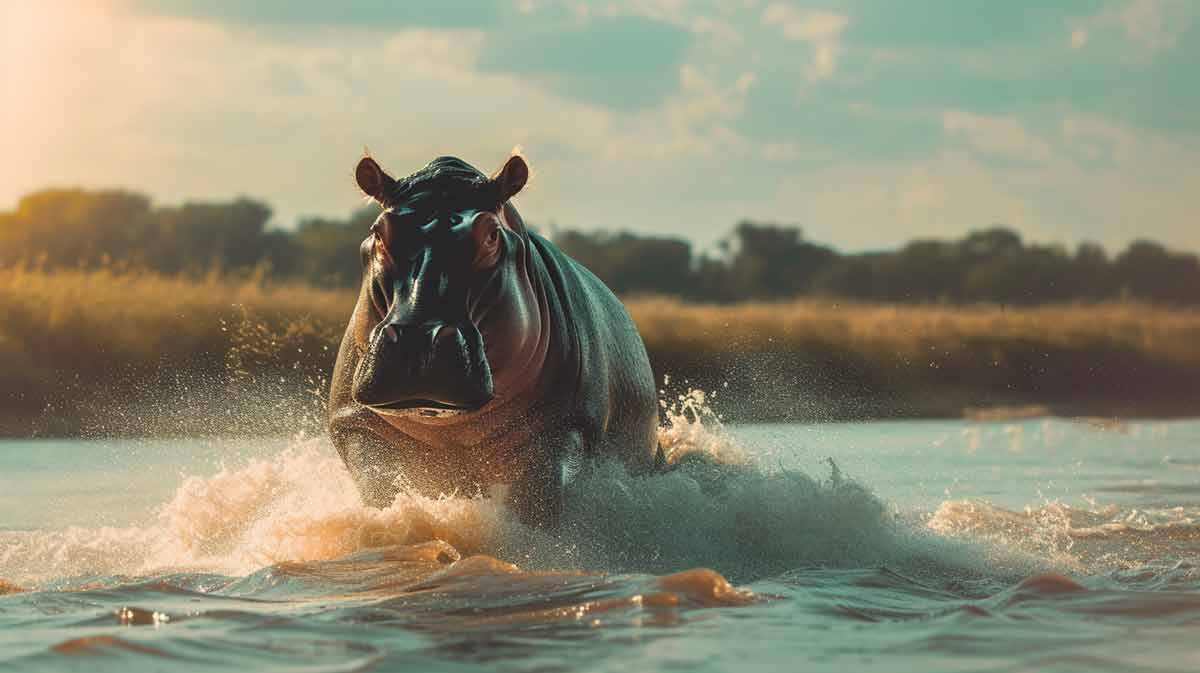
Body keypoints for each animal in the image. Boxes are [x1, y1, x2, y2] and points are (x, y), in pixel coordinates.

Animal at [328, 152, 662, 525]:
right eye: (379, 231)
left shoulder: (565, 427)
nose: (419, 338)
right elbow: (381, 484)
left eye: (491, 234)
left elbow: (534, 498)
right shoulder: (357, 425)